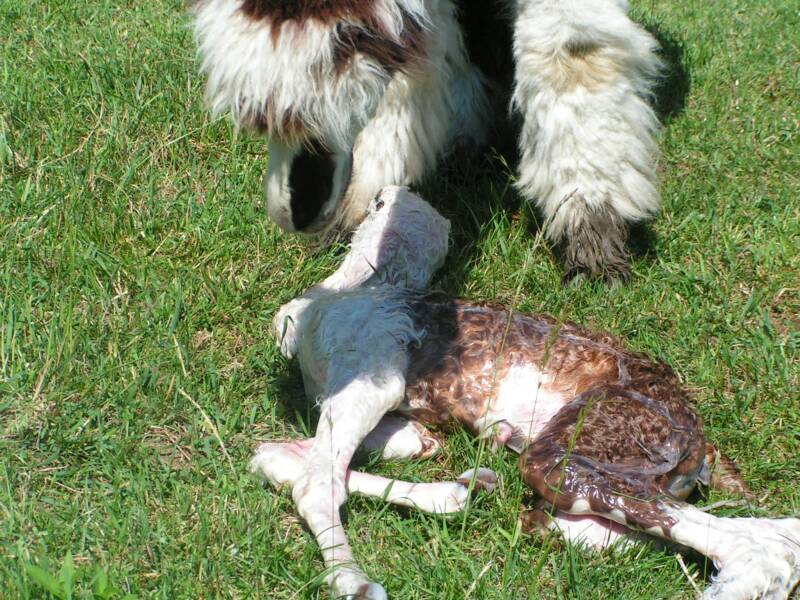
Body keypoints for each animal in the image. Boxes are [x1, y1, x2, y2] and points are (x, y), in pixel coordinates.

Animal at [254, 186, 800, 600]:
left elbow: (315, 479)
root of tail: (701, 441)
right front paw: (462, 482)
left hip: (594, 440)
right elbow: (299, 455)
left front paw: (353, 581)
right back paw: (476, 485)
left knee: (761, 540)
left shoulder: (371, 366)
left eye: (378, 203)